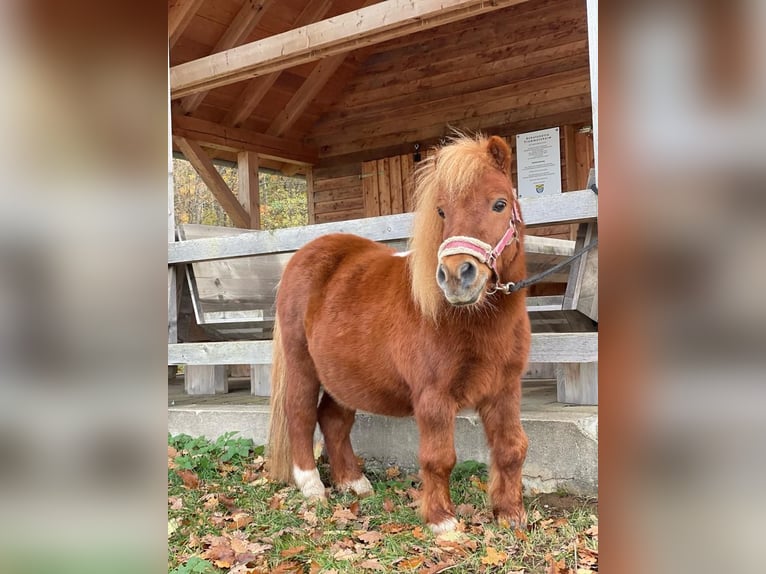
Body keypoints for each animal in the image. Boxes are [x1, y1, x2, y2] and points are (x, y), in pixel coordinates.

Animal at [268, 135, 532, 536]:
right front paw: (442, 521)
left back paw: (354, 482)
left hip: (345, 375)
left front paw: (511, 514)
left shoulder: (505, 390)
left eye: (500, 203)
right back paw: (312, 486)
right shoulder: (433, 398)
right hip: (303, 366)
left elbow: (510, 447)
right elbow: (438, 458)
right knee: (299, 414)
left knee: (333, 420)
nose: (457, 276)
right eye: (441, 212)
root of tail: (303, 256)